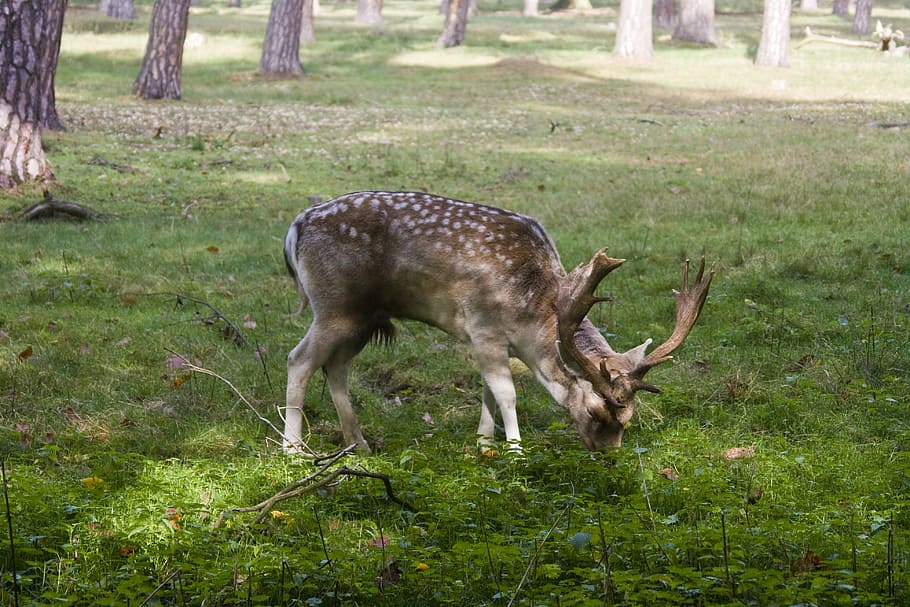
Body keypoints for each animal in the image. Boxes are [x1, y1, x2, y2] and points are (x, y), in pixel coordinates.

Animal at [282, 191, 713, 454]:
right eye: (595, 412)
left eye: (629, 418)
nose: (608, 453)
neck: (532, 320)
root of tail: (296, 226)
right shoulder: (483, 326)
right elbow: (506, 392)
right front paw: (515, 450)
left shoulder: (489, 340)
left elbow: (487, 390)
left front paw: (485, 444)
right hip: (334, 305)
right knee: (298, 359)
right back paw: (293, 449)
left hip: (363, 317)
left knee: (336, 367)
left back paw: (359, 444)